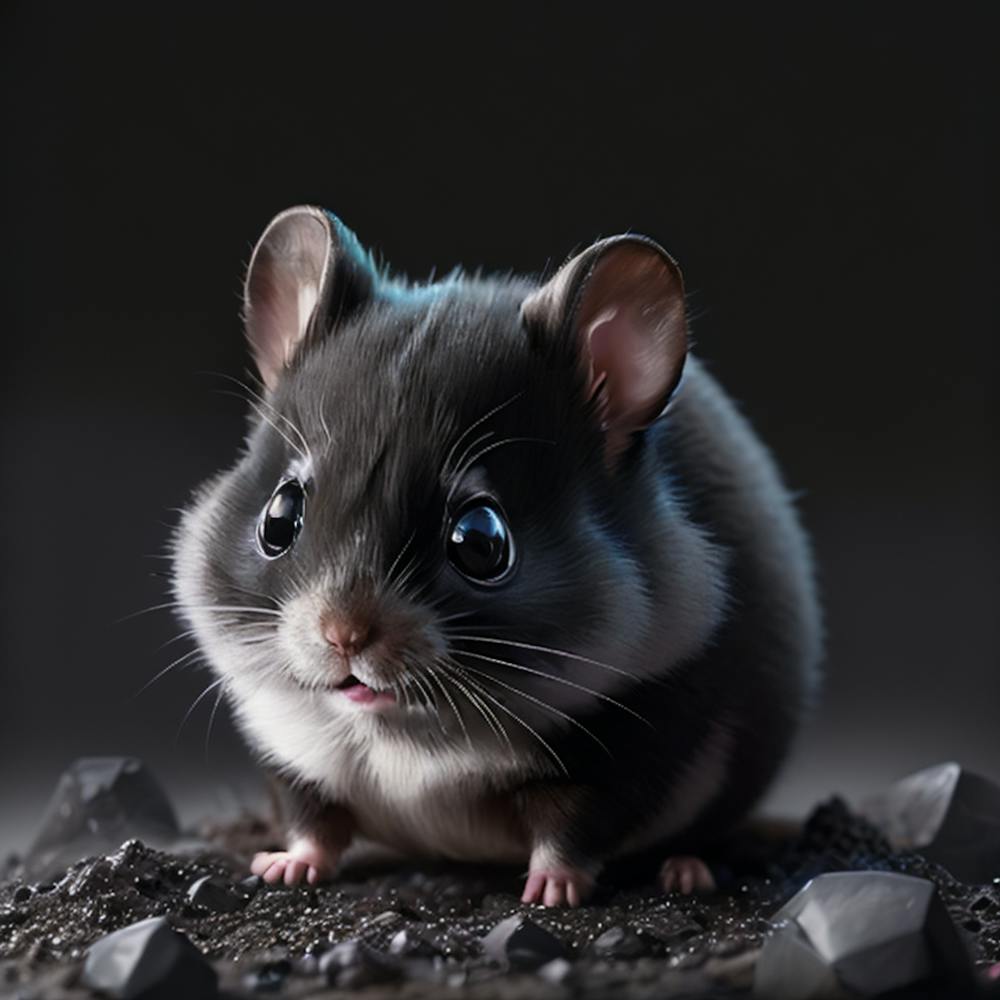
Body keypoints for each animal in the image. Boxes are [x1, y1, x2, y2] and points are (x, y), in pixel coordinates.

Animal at [172, 205, 822, 906]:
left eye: (481, 541)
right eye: (279, 517)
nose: (343, 636)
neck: (407, 733)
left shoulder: (626, 755)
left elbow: (572, 836)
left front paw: (551, 892)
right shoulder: (291, 758)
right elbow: (312, 824)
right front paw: (282, 867)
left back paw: (686, 870)